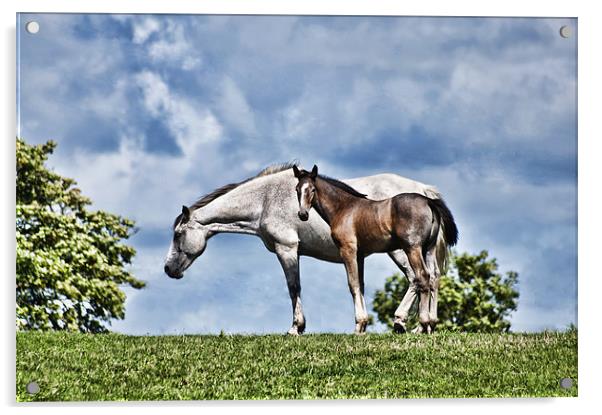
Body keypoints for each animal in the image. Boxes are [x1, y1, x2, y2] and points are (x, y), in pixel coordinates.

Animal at [292, 166, 458, 334]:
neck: (344, 208)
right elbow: (361, 285)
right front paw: (363, 326)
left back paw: (423, 323)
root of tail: (429, 201)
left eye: (312, 189)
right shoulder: (360, 254)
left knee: (423, 276)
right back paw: (432, 323)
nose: (303, 214)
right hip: (429, 248)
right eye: (297, 189)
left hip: (413, 248)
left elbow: (353, 284)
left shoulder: (348, 250)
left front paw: (358, 326)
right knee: (434, 277)